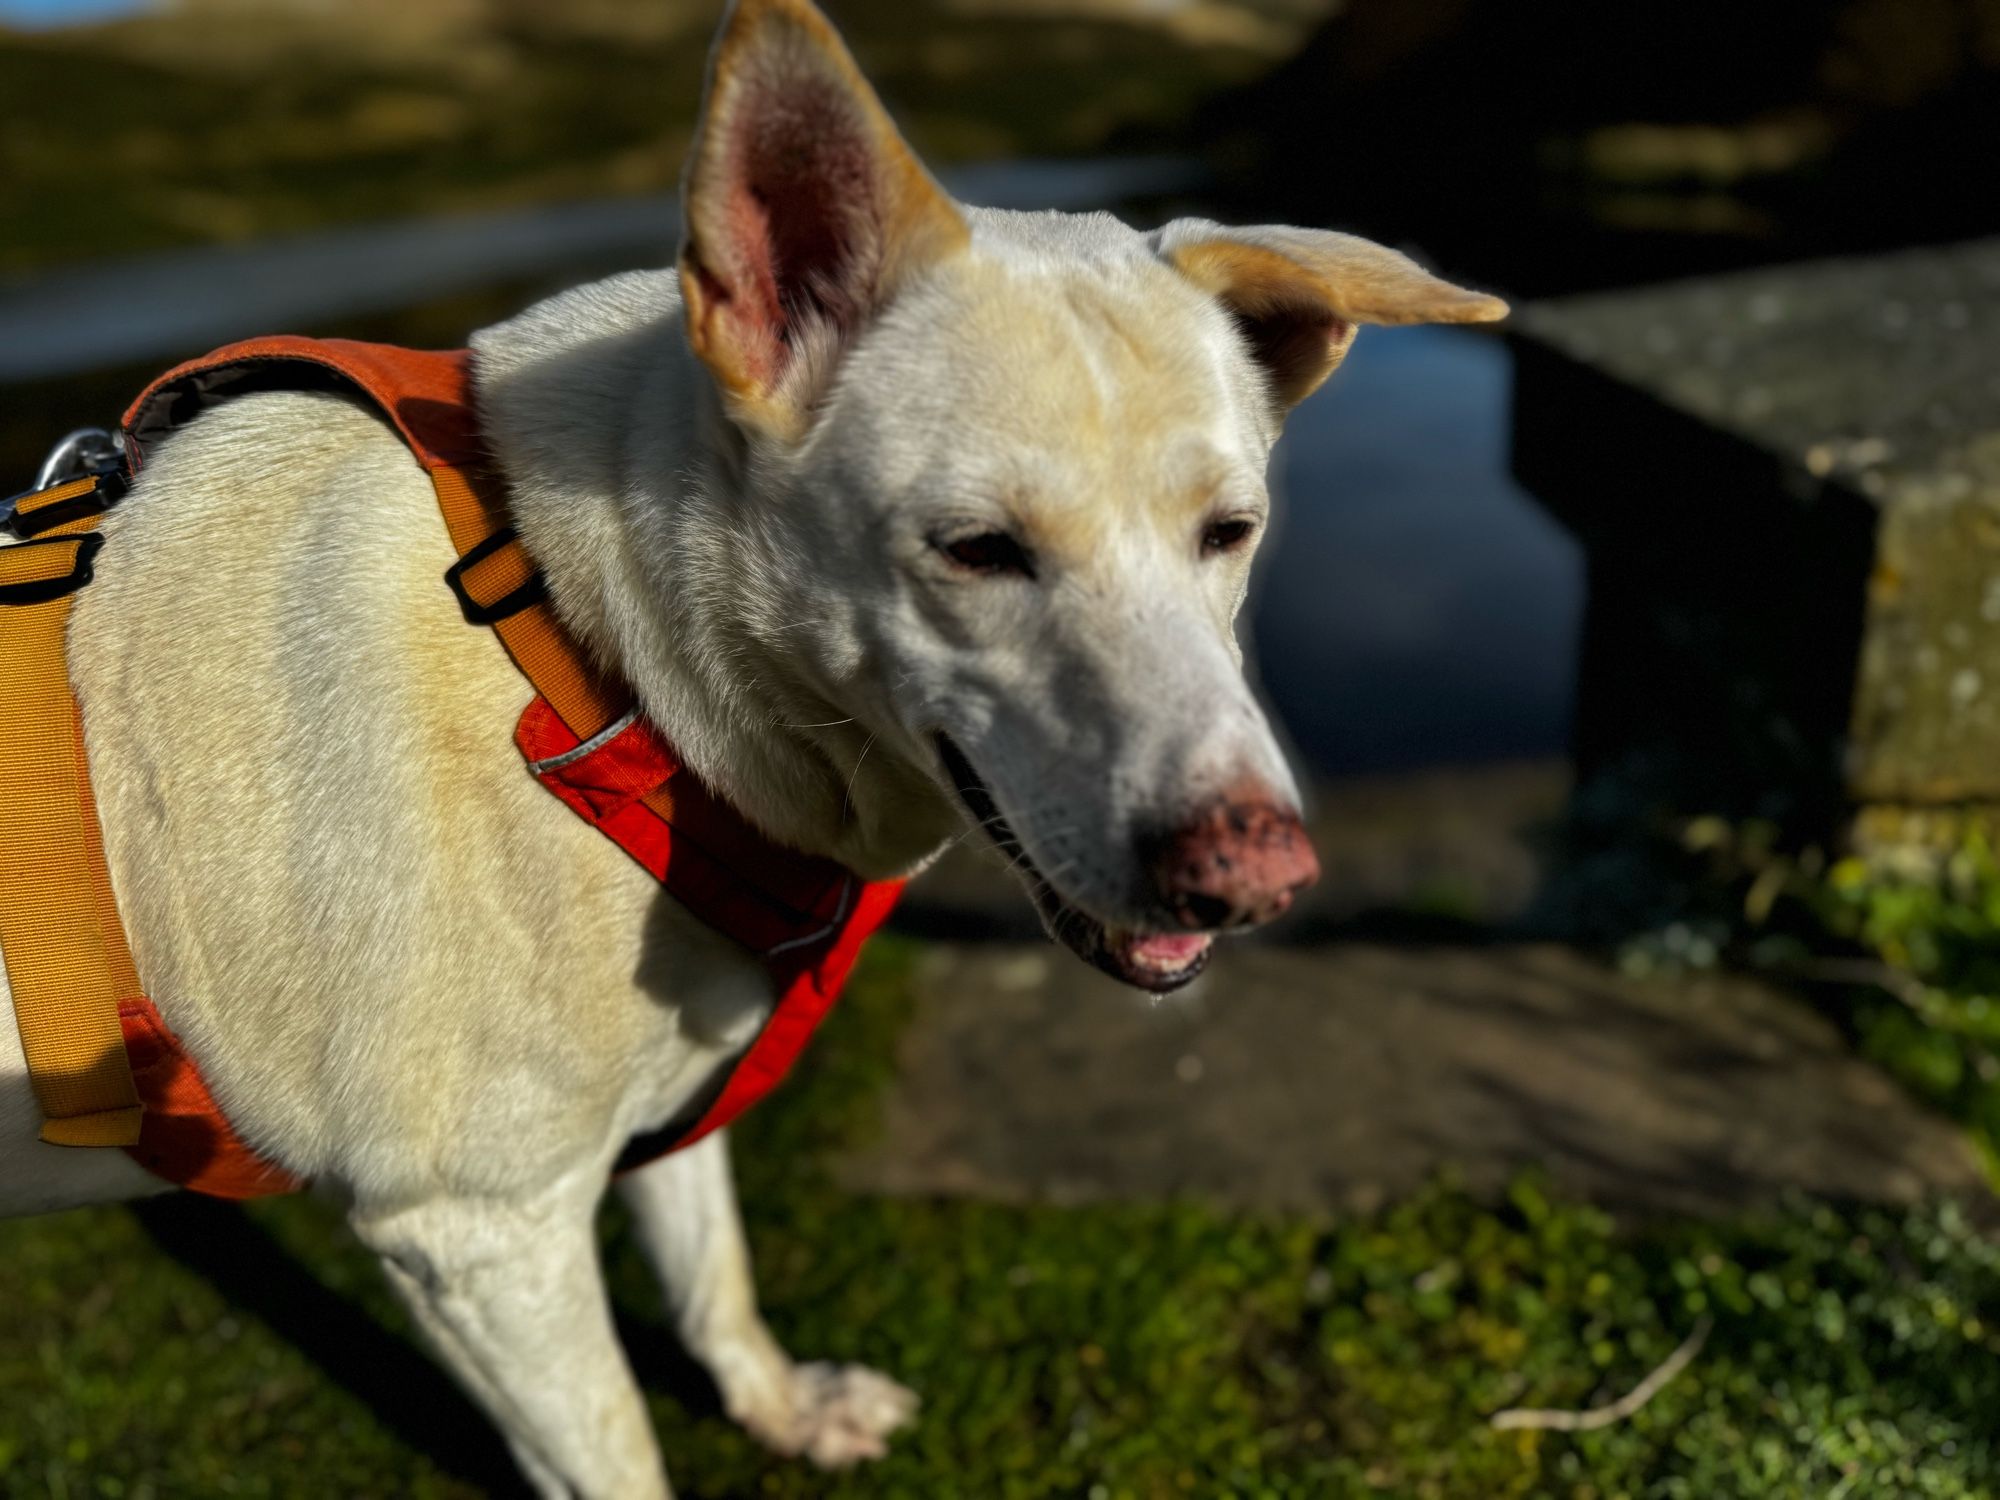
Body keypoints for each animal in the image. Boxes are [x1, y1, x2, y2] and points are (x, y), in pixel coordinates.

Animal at [0, 0, 1504, 1496]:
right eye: (977, 549)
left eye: (1230, 531)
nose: (1255, 878)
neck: (585, 659)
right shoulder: (479, 1234)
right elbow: (616, 1451)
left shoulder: (656, 1097)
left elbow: (709, 1261)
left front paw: (777, 1403)